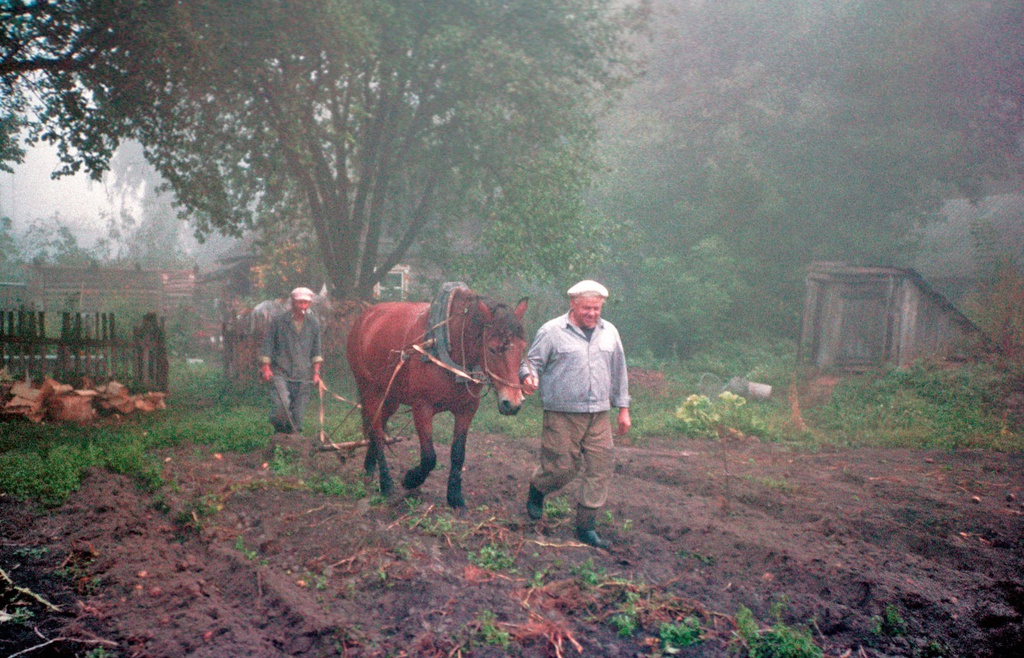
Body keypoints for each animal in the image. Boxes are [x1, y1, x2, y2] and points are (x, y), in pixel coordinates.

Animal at [348, 288, 532, 509]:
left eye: (522, 347)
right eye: (492, 349)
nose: (513, 403)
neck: (449, 348)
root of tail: (365, 317)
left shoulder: (467, 409)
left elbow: (458, 453)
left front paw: (455, 497)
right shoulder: (422, 407)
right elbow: (429, 457)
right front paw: (410, 479)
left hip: (390, 397)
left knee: (379, 425)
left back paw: (369, 470)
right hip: (371, 391)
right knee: (376, 432)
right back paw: (386, 484)